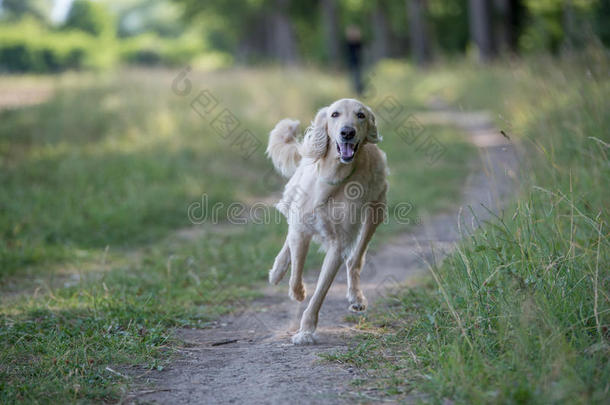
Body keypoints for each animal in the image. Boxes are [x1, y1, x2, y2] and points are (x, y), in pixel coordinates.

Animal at [264, 98, 388, 344]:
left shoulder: (339, 244)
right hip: (294, 195)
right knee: (289, 239)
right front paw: (298, 291)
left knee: (355, 260)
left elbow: (320, 291)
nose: (347, 132)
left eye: (360, 115)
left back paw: (356, 296)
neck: (334, 177)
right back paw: (277, 271)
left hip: (375, 213)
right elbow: (296, 270)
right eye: (335, 114)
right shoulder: (302, 226)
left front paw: (306, 330)